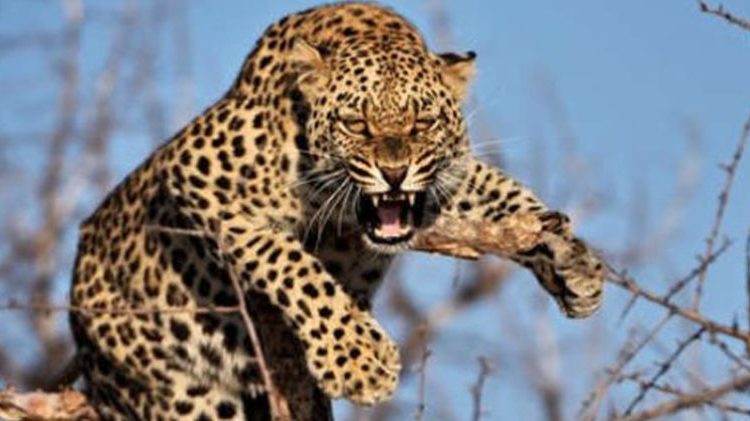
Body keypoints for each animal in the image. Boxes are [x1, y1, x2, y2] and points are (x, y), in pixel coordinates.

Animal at [68, 2, 605, 420]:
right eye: (355, 122)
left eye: (423, 122)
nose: (394, 172)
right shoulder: (194, 174)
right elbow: (290, 264)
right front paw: (359, 360)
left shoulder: (451, 178)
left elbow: (510, 199)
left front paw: (572, 264)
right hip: (183, 395)